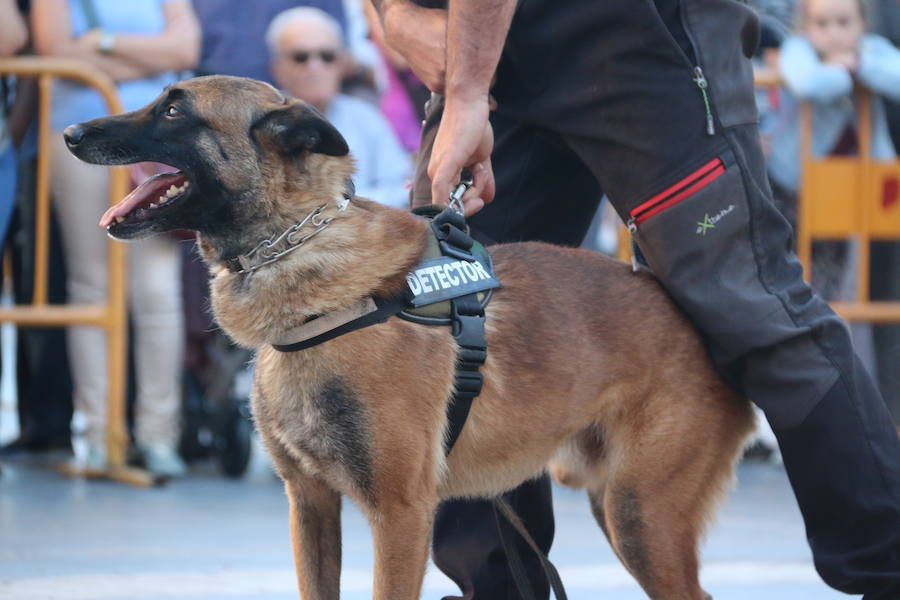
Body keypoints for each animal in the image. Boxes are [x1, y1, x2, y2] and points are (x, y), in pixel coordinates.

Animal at [65, 76, 752, 600]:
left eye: (173, 110)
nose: (70, 133)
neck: (301, 255)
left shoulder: (399, 514)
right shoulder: (310, 505)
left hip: (639, 517)